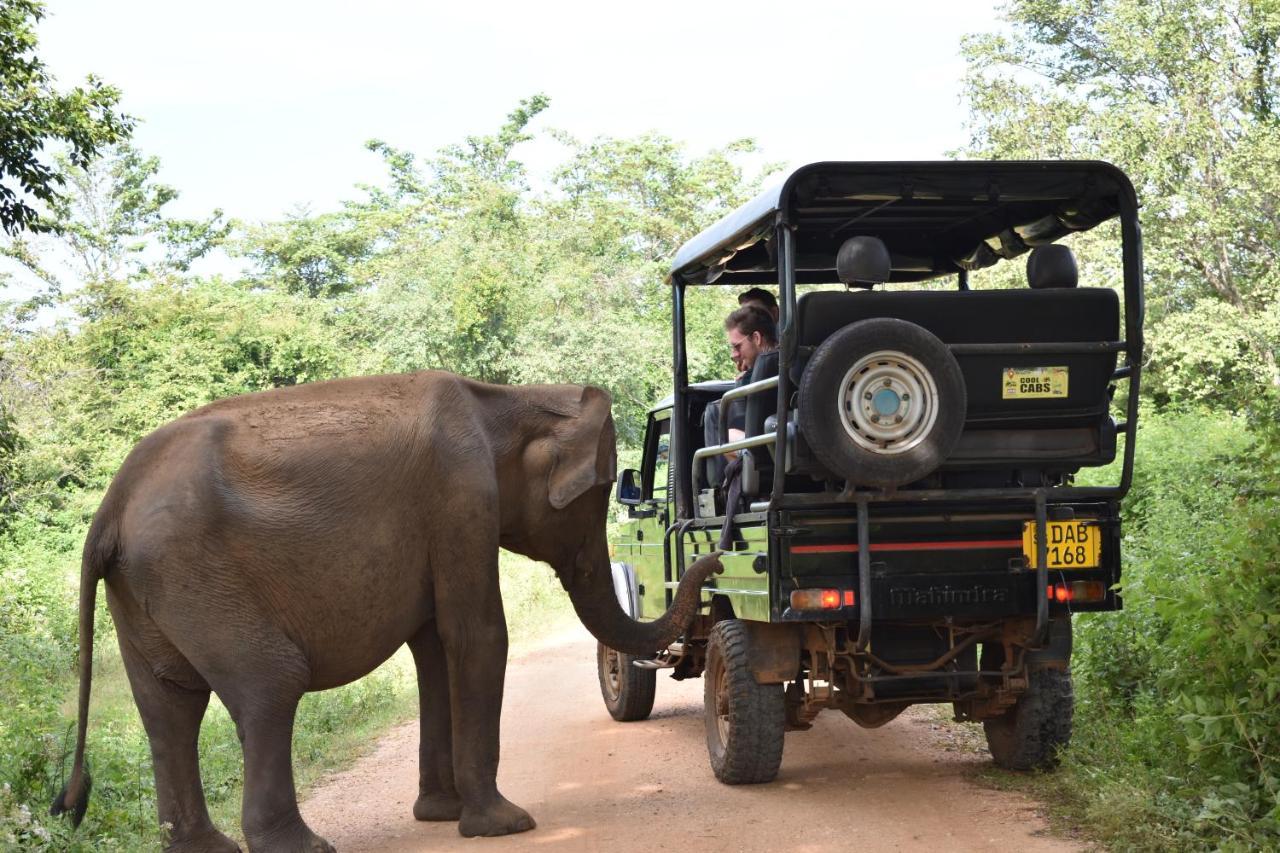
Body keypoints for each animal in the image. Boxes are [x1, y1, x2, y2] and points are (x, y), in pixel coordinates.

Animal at [49, 371, 721, 850]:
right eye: (602, 492)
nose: (714, 562)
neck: (507, 399)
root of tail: (109, 507)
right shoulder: (460, 496)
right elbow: (478, 635)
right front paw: (506, 825)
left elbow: (434, 648)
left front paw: (442, 815)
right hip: (193, 576)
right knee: (269, 683)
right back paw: (303, 847)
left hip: (147, 589)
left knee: (169, 707)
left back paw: (208, 849)